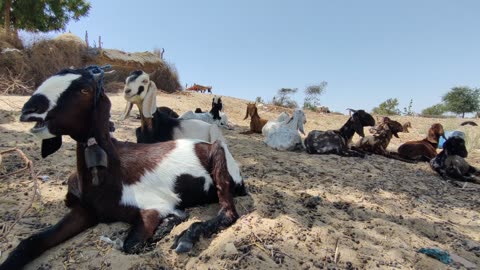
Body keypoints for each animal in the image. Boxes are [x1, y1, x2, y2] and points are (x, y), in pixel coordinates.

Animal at [0, 66, 248, 270]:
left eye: (84, 90)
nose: (29, 110)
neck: (112, 181)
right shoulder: (84, 211)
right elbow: (30, 242)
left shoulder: (151, 207)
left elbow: (131, 244)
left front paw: (170, 224)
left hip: (219, 159)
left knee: (228, 212)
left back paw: (185, 238)